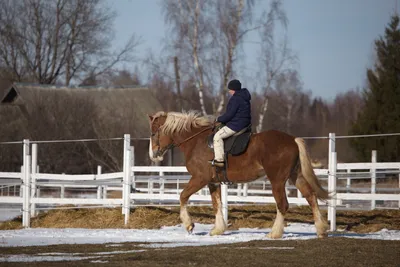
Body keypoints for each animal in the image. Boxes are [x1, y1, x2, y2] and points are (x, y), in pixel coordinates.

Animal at [148, 110, 330, 240]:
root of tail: (292, 140)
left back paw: (275, 233)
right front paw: (218, 230)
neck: (195, 141)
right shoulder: (213, 182)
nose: (153, 155)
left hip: (277, 180)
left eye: (153, 133)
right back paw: (321, 230)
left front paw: (189, 225)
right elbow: (217, 204)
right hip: (295, 176)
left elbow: (183, 196)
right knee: (310, 196)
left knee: (283, 204)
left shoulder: (200, 179)